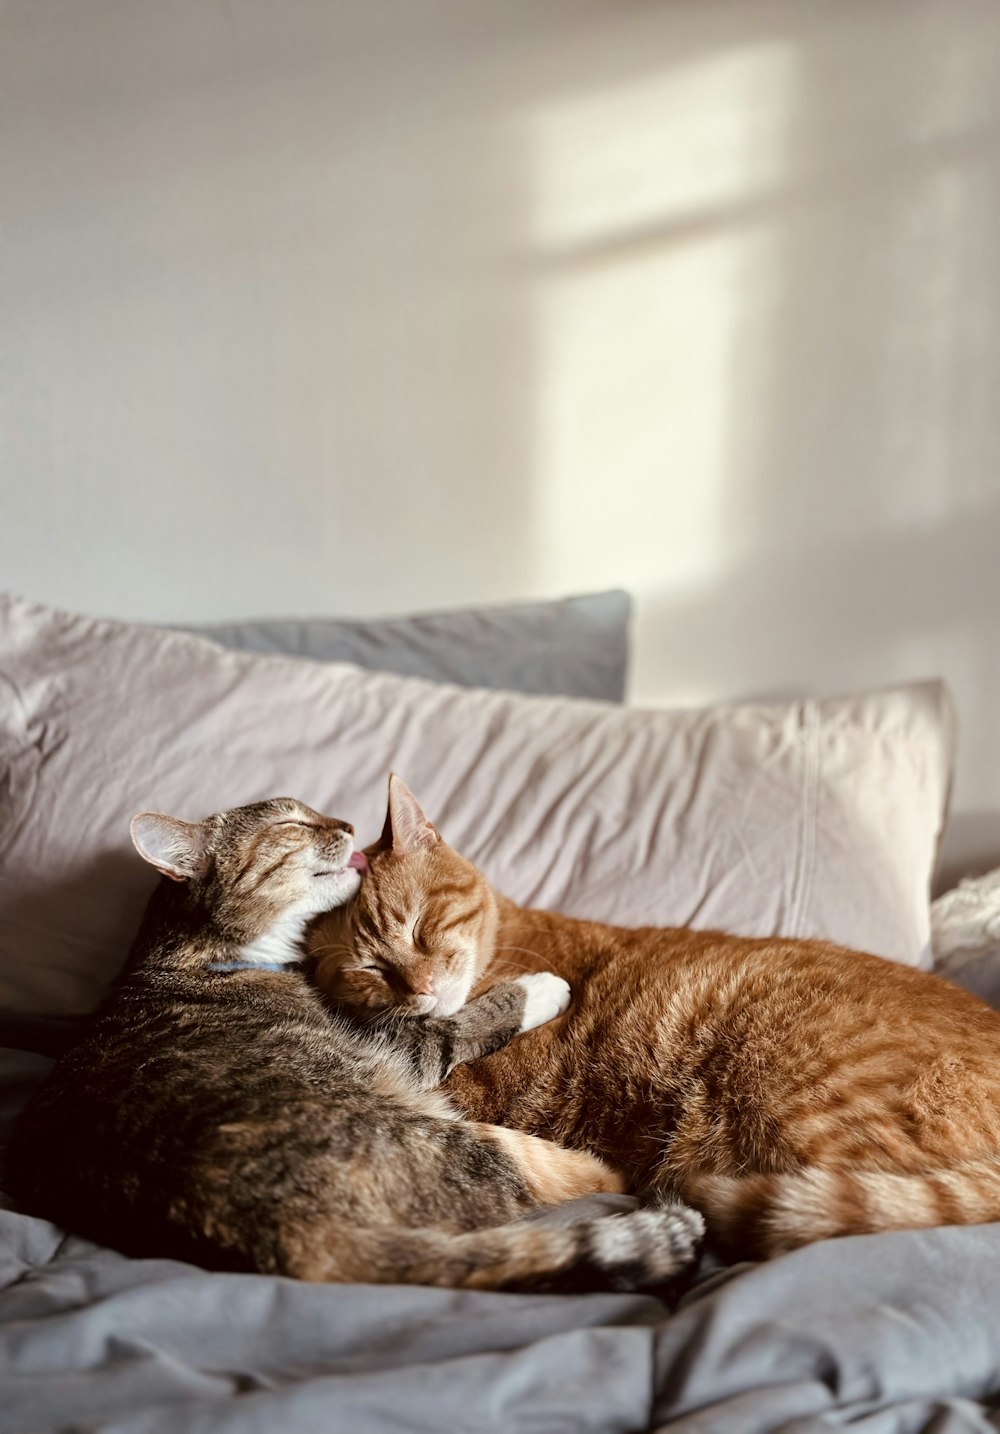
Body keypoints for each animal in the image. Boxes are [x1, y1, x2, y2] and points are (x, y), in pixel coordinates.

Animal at [5, 797, 703, 1290]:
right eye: (291, 821)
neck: (196, 953)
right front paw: (542, 988)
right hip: (444, 1135)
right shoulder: (398, 1039)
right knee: (546, 1179)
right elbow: (465, 1019)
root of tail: (277, 1235)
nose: (344, 820)